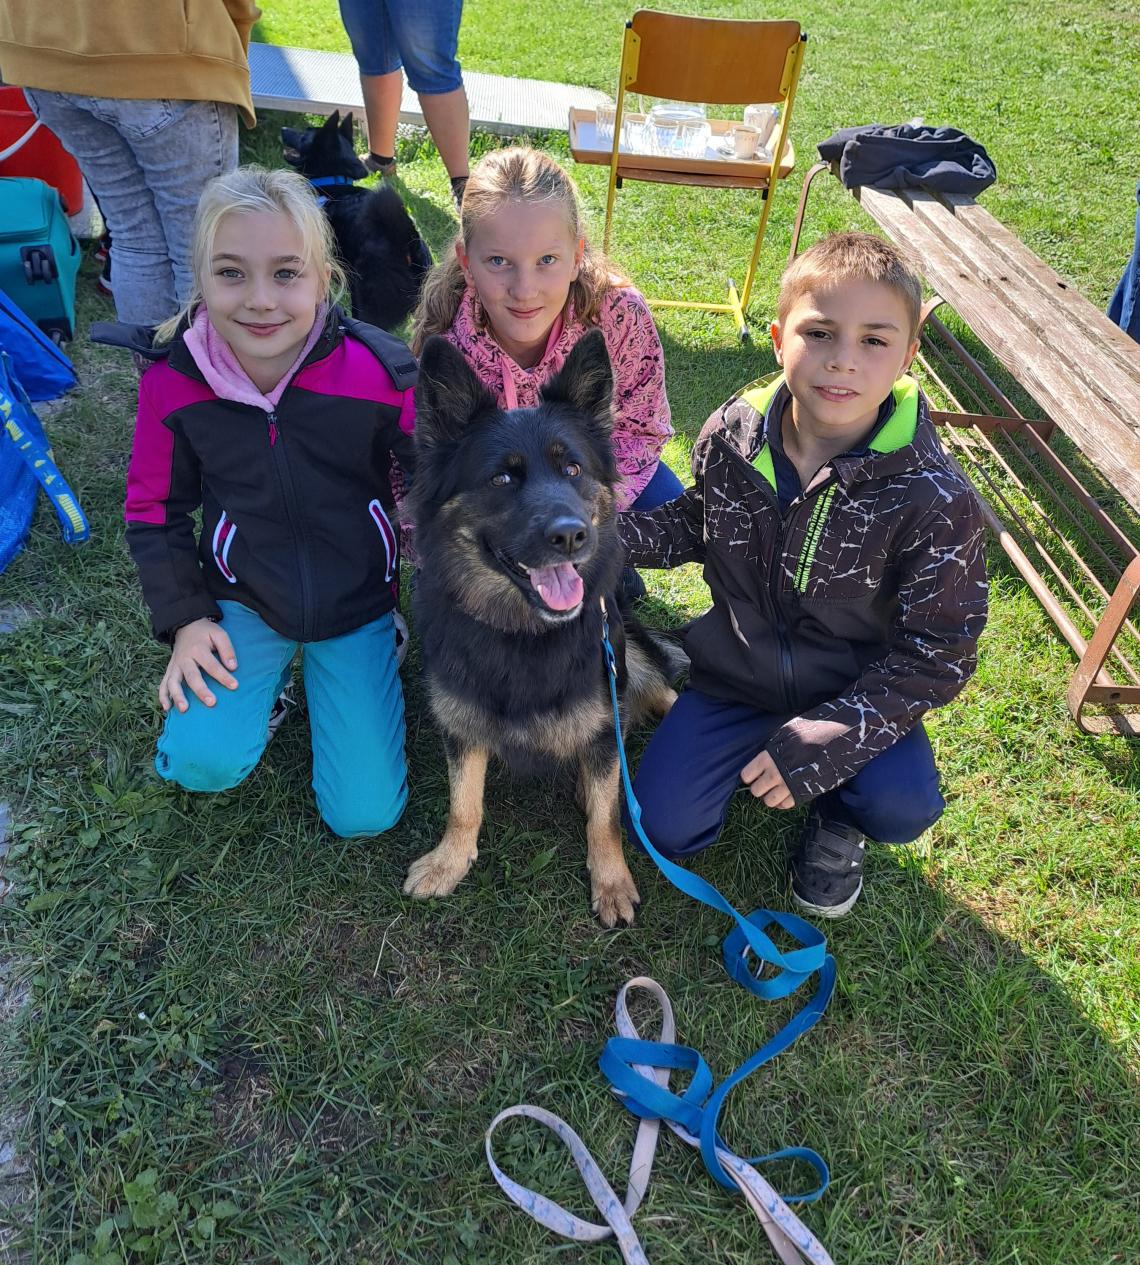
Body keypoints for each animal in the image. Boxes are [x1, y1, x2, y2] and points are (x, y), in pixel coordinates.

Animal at [404, 329, 684, 927]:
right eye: (503, 477)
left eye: (572, 469)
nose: (570, 535)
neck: (524, 635)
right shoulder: (462, 721)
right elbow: (464, 802)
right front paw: (449, 861)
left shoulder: (602, 714)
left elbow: (606, 817)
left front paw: (611, 880)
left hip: (627, 652)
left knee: (661, 690)